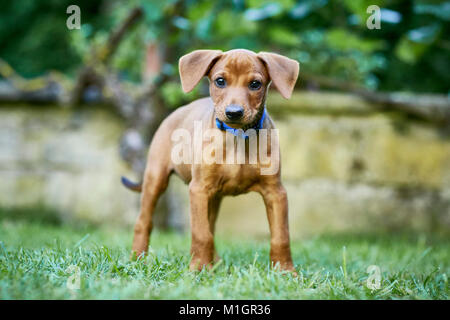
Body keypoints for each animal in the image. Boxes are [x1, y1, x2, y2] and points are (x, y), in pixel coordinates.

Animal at [121, 48, 300, 272]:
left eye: (255, 84)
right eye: (220, 81)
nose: (234, 113)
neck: (237, 136)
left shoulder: (275, 192)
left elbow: (281, 236)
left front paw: (285, 271)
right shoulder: (199, 189)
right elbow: (201, 233)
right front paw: (198, 269)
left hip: (214, 197)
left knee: (211, 225)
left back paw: (215, 263)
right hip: (156, 179)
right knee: (144, 221)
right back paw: (137, 258)